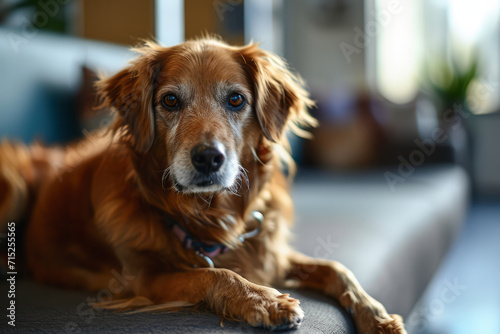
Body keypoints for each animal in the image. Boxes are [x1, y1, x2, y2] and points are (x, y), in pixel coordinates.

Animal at [0, 38, 406, 332]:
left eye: (236, 99)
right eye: (170, 100)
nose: (209, 158)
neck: (208, 212)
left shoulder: (268, 253)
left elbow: (336, 268)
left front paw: (376, 314)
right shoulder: (141, 279)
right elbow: (214, 272)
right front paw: (264, 301)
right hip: (13, 183)